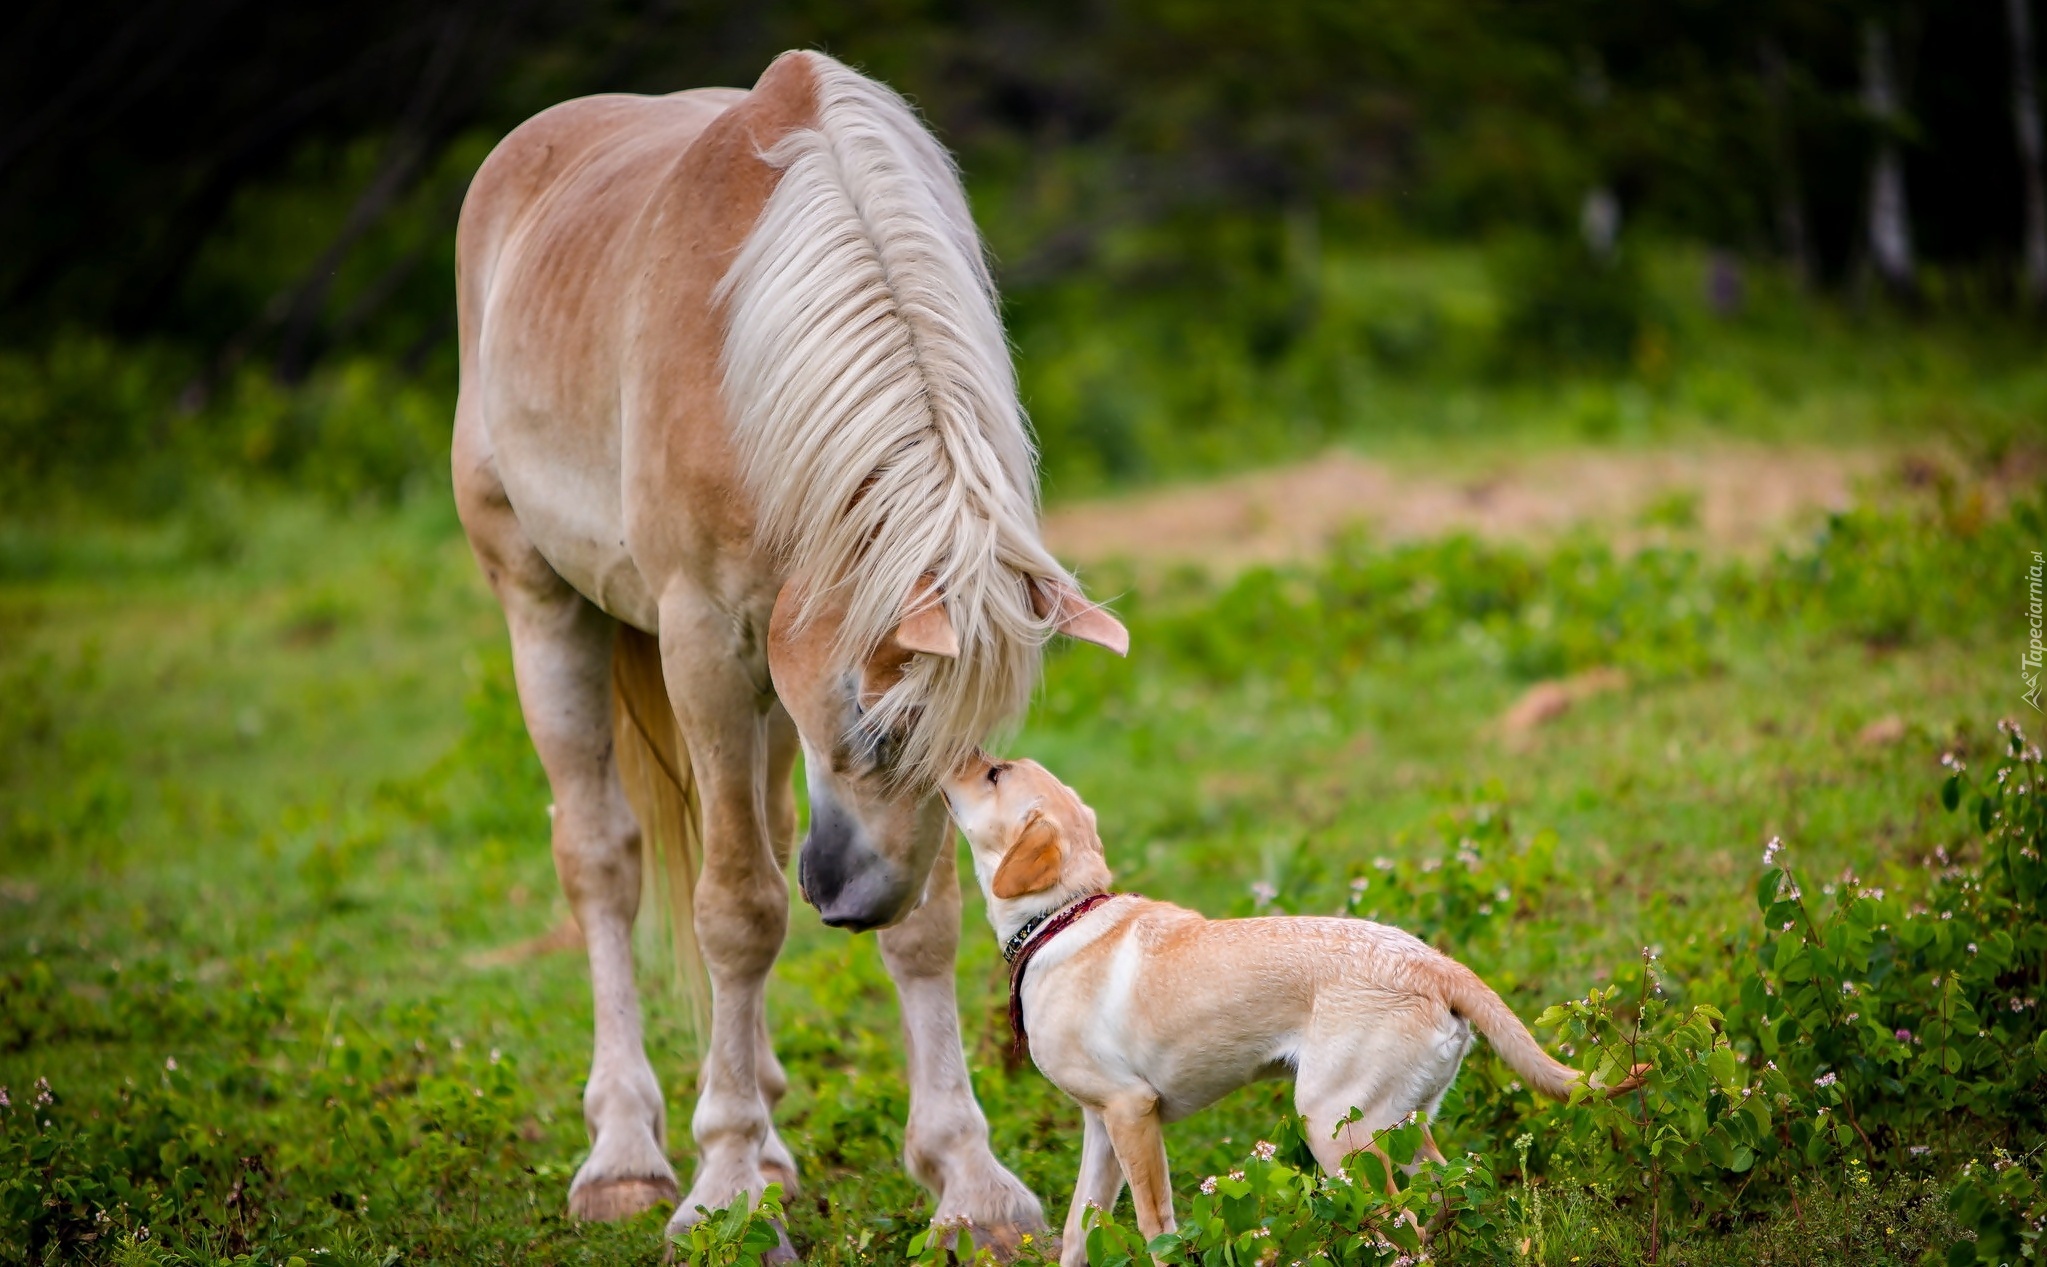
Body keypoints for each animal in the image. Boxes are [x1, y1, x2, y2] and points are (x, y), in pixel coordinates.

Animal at [448, 47, 1129, 1252]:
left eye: (974, 748)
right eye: (874, 721)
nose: (851, 903)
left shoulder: (785, 680)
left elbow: (927, 926)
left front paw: (968, 1182)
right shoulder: (706, 647)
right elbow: (737, 909)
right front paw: (721, 1186)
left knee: (755, 838)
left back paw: (765, 1128)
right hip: (541, 602)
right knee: (603, 859)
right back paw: (627, 1155)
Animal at [945, 753, 1645, 1260]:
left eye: (993, 773)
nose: (953, 750)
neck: (1058, 917)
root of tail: (1433, 963)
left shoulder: (1132, 1113)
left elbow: (1155, 1227)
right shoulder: (1101, 1124)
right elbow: (1077, 1230)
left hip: (1333, 1127)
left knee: (1405, 1231)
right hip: (1401, 1126)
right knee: (1443, 1198)